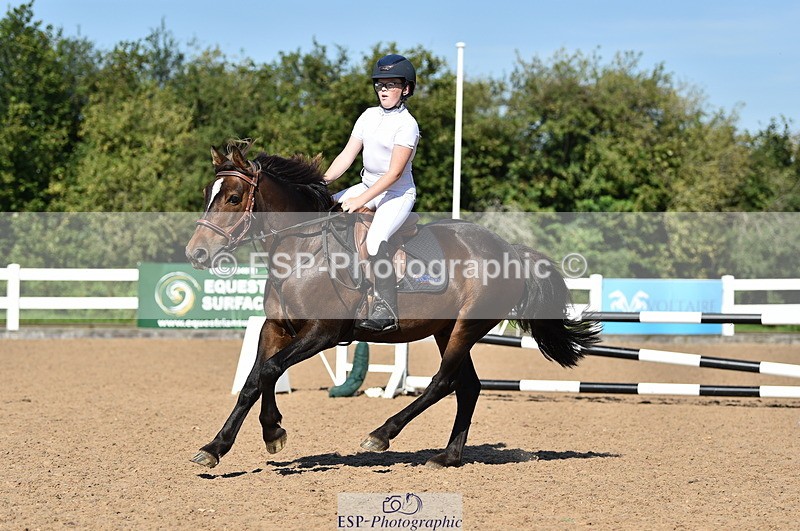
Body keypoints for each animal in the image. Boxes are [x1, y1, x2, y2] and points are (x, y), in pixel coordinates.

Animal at [185, 142, 600, 469]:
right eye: (208, 193)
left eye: (233, 198)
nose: (196, 254)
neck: (303, 251)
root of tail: (508, 249)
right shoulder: (276, 328)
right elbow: (254, 380)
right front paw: (219, 446)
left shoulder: (321, 333)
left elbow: (270, 371)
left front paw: (271, 431)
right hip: (447, 329)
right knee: (468, 386)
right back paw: (447, 457)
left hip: (466, 327)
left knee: (443, 382)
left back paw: (382, 434)